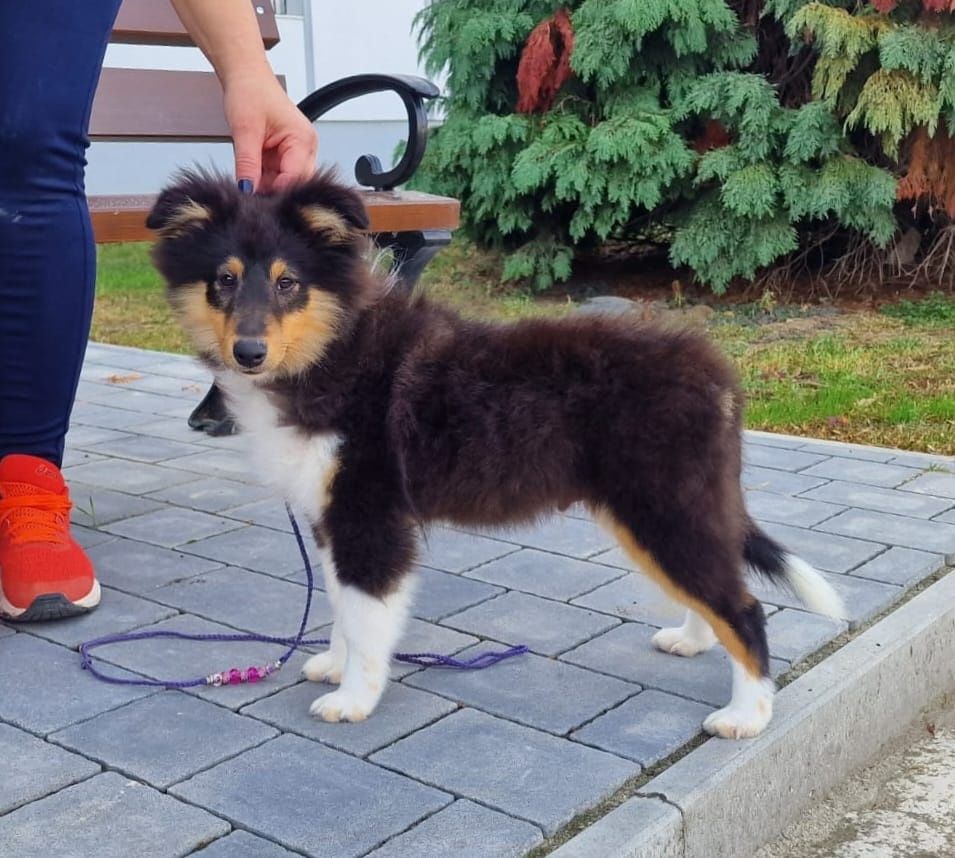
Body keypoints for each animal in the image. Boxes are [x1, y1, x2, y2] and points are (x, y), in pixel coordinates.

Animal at [149, 169, 844, 736]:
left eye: (288, 282)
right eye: (224, 281)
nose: (248, 353)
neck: (334, 352)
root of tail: (718, 377)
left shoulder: (370, 516)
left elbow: (368, 615)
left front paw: (353, 700)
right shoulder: (332, 517)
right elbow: (342, 605)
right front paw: (332, 664)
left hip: (662, 503)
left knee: (743, 606)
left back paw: (746, 715)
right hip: (664, 511)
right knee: (713, 588)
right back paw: (692, 641)